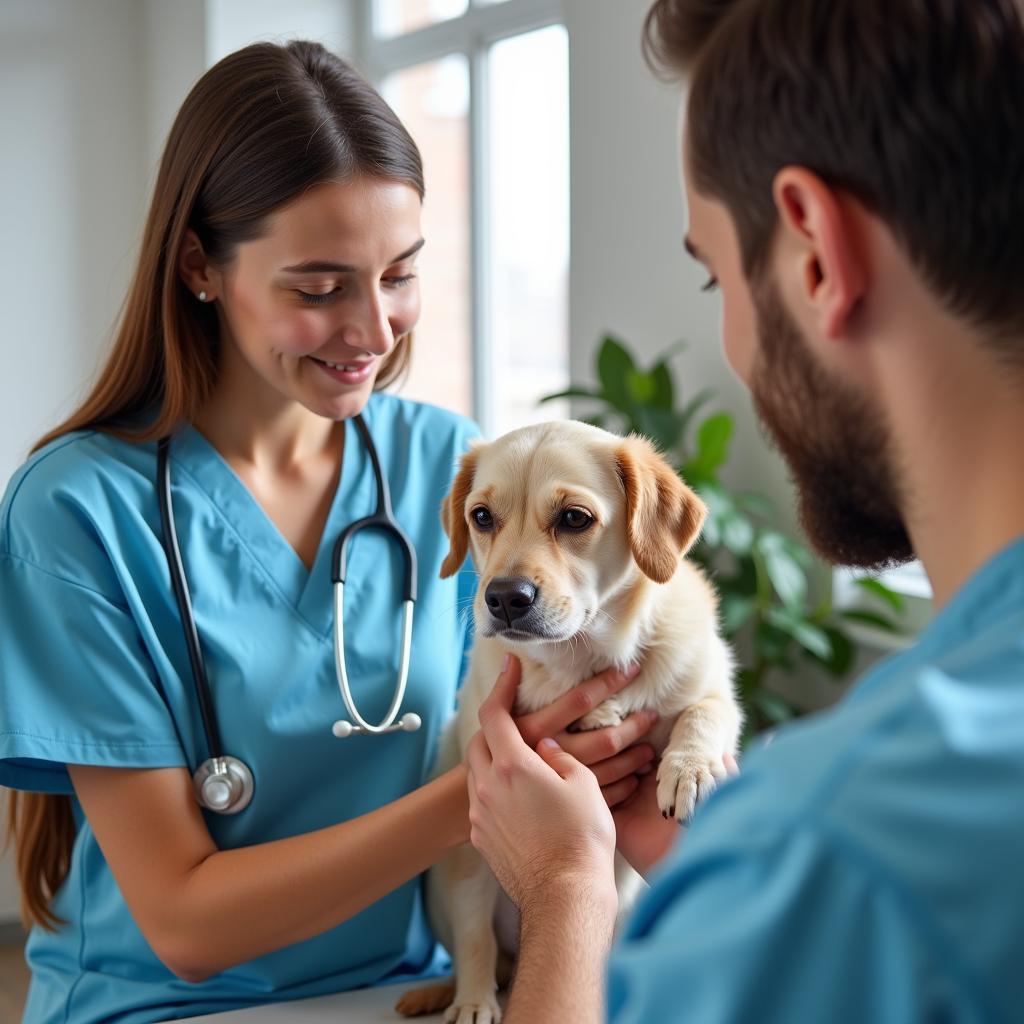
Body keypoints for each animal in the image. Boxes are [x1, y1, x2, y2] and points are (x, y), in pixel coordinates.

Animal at [395, 417, 741, 1024]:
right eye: (481, 517)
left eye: (574, 518)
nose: (504, 598)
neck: (581, 663)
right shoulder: (471, 840)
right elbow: (474, 936)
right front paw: (473, 1002)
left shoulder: (718, 688)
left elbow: (704, 712)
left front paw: (691, 770)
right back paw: (451, 990)